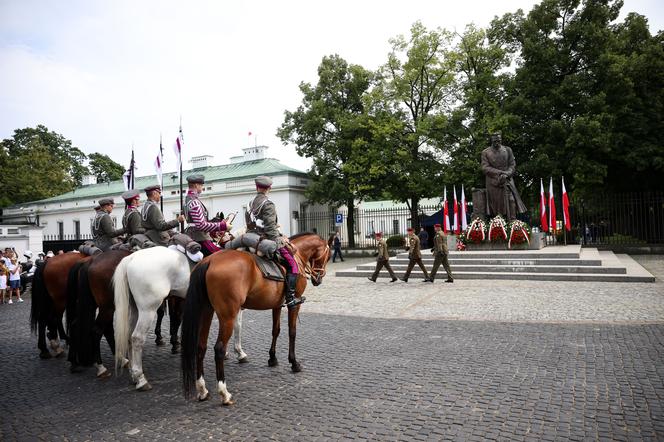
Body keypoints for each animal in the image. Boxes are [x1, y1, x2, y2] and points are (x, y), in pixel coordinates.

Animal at [113, 247, 248, 392]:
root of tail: (131, 258)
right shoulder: (230, 305)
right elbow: (237, 326)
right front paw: (239, 352)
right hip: (148, 310)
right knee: (137, 338)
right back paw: (140, 378)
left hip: (135, 309)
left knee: (128, 336)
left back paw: (133, 374)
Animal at [182, 233, 332, 406]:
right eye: (328, 257)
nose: (318, 279)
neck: (297, 254)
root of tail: (210, 260)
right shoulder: (294, 305)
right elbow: (292, 332)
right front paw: (294, 363)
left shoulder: (276, 305)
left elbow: (276, 331)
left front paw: (272, 358)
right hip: (227, 316)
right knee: (219, 349)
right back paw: (224, 393)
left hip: (206, 312)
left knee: (201, 347)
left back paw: (202, 390)